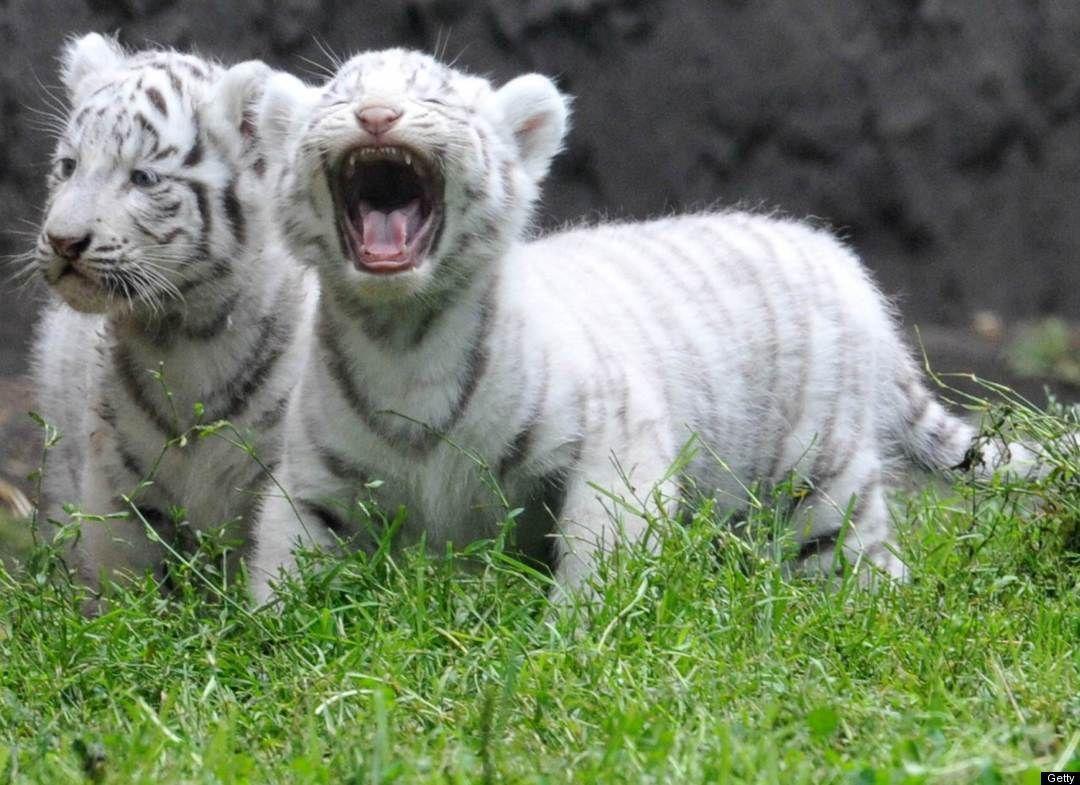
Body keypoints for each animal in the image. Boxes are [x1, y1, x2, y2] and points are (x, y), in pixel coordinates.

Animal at [29, 34, 316, 597]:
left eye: (143, 178)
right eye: (69, 166)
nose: (63, 241)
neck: (188, 332)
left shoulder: (281, 465)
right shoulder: (119, 483)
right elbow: (128, 583)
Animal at [244, 48, 1044, 603]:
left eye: (430, 93)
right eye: (342, 95)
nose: (377, 115)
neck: (404, 336)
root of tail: (840, 259)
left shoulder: (613, 440)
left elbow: (598, 549)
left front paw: (572, 638)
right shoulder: (314, 479)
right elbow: (284, 559)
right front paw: (274, 643)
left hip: (822, 476)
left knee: (865, 561)